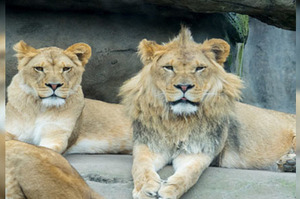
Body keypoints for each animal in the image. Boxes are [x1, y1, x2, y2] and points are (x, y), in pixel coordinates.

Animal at [119, 27, 296, 199]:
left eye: (199, 68)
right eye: (169, 67)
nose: (184, 86)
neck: (178, 120)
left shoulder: (201, 150)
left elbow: (189, 174)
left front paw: (169, 190)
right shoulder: (147, 144)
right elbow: (140, 166)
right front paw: (145, 188)